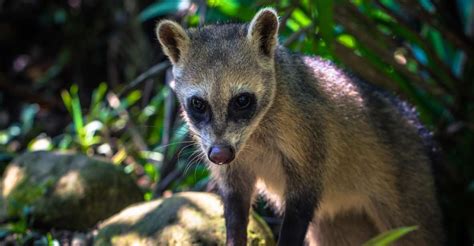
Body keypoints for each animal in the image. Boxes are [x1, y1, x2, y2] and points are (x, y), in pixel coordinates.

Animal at [156, 7, 444, 246]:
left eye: (242, 100)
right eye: (198, 104)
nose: (219, 155)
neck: (253, 134)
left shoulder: (310, 137)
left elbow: (300, 208)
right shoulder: (226, 159)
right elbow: (236, 205)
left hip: (408, 192)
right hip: (341, 221)